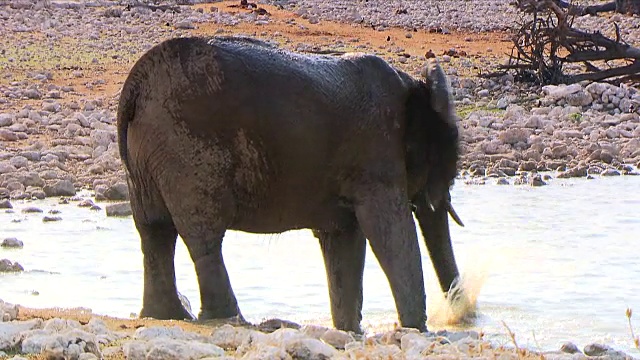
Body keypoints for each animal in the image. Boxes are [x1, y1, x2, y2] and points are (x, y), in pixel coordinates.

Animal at [115, 35, 464, 334]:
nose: (464, 317)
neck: (413, 86)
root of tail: (136, 84)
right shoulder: (377, 154)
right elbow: (387, 230)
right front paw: (417, 330)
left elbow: (344, 239)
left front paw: (349, 330)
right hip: (188, 149)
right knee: (202, 235)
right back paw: (227, 318)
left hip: (150, 155)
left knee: (154, 231)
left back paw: (167, 315)